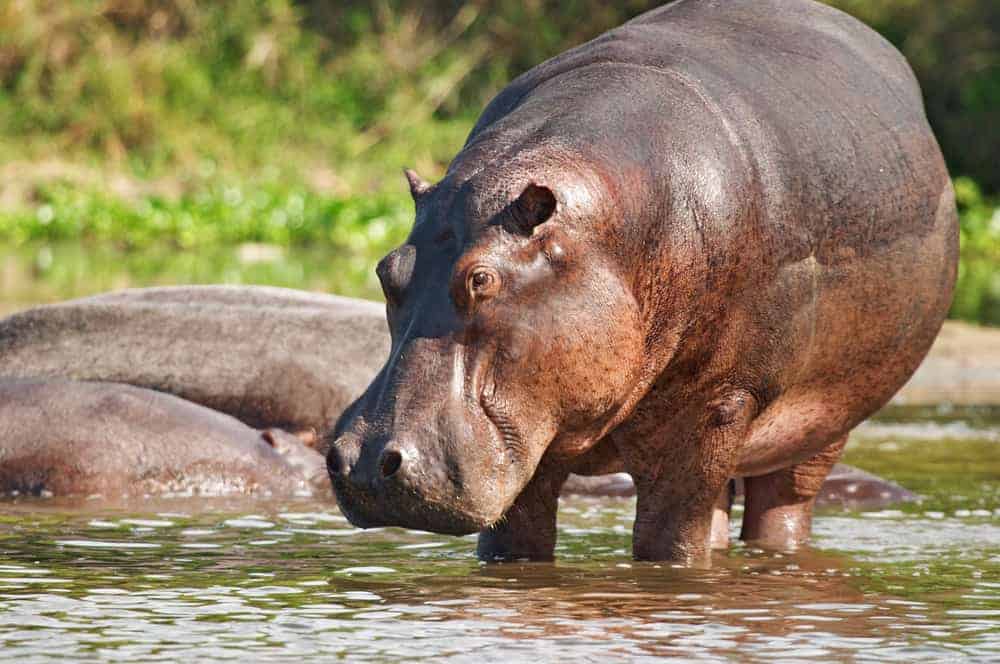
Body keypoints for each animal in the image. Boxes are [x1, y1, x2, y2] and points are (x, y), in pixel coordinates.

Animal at [327, 0, 958, 564]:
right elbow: (515, 541)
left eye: (481, 278)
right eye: (386, 270)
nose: (365, 463)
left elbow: (669, 544)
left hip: (820, 426)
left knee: (783, 506)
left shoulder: (718, 406)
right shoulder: (531, 436)